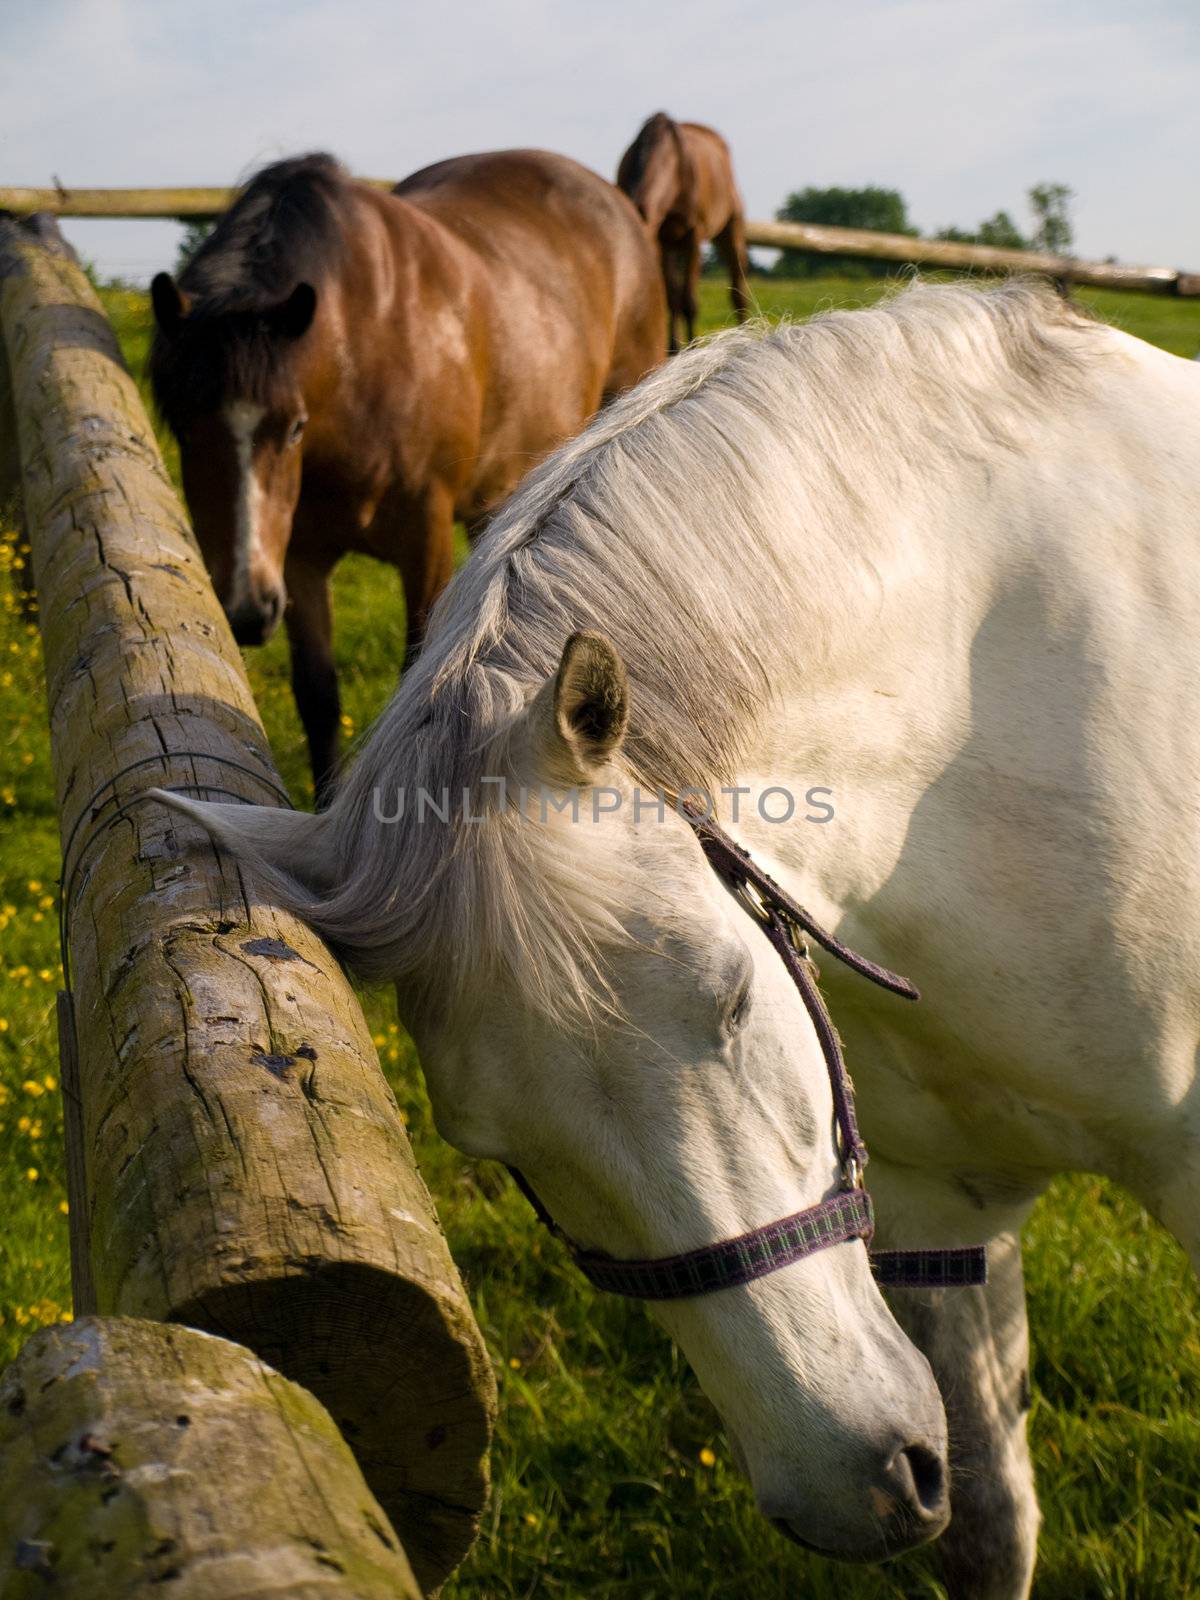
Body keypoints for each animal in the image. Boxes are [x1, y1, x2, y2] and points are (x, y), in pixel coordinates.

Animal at [150, 150, 668, 800]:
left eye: (293, 428)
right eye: (184, 429)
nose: (246, 607)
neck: (362, 357)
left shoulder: (423, 539)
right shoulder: (298, 559)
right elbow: (318, 697)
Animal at [157, 281, 1200, 1593]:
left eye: (735, 1002)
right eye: (495, 1149)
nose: (854, 1486)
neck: (996, 706)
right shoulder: (936, 1204)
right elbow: (988, 1522)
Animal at [620, 116, 752, 356]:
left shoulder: (693, 236)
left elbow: (689, 302)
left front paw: (693, 348)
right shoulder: (663, 241)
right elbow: (673, 300)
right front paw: (673, 350)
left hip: (731, 230)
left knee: (738, 289)